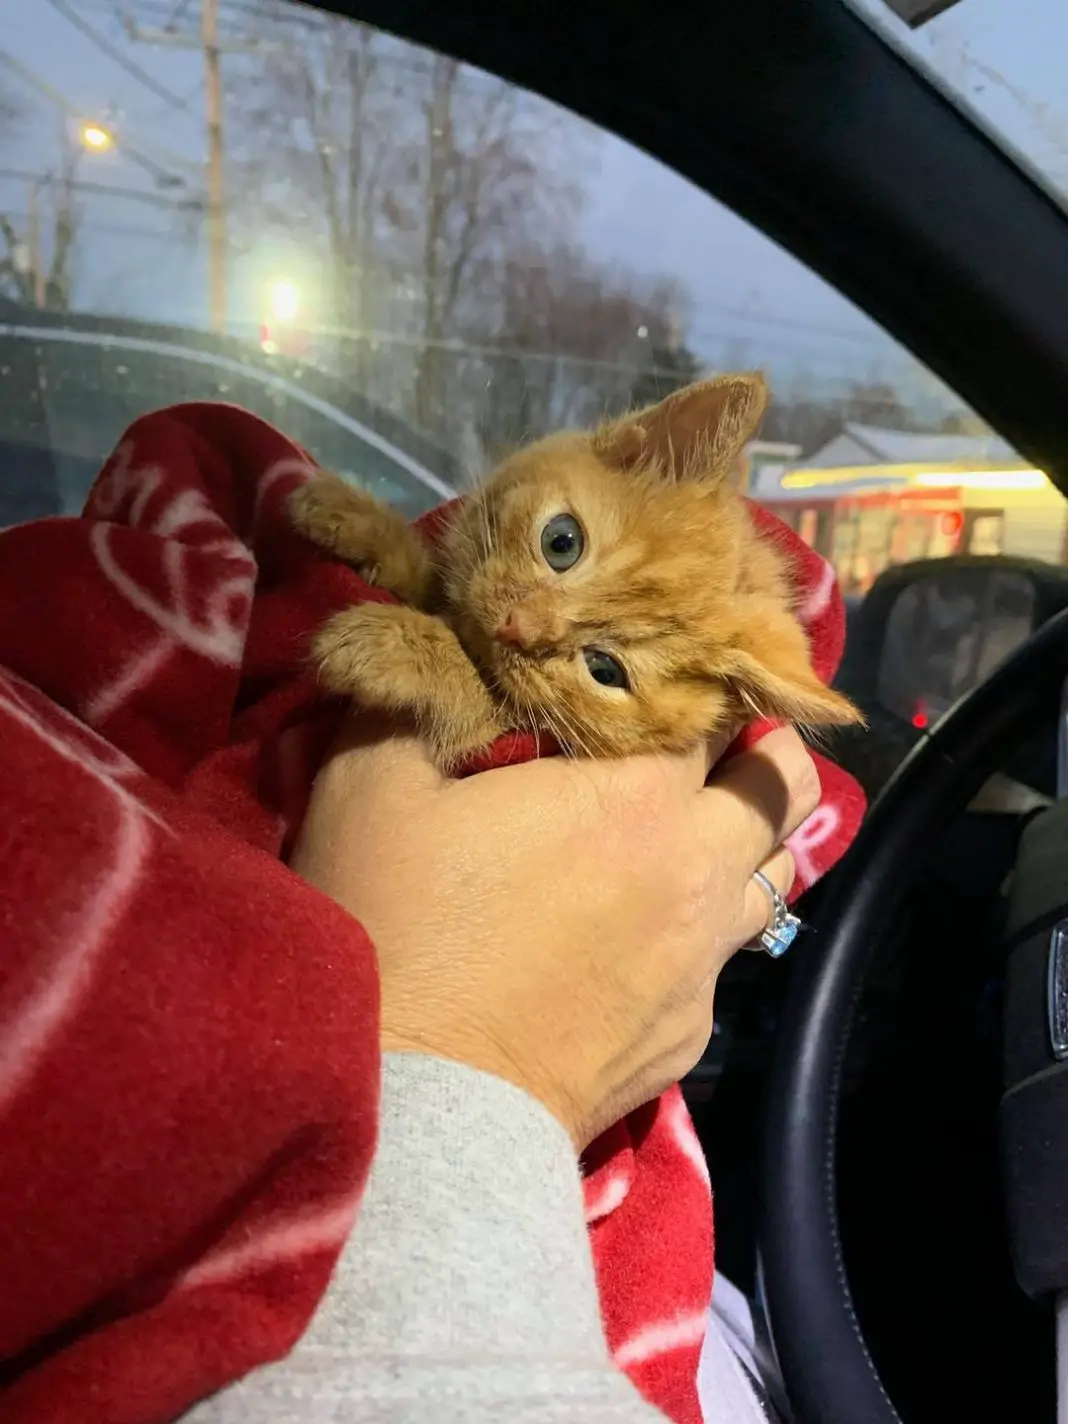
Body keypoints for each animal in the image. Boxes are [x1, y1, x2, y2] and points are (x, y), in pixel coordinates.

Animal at [290, 370, 860, 768]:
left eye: (604, 670)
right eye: (561, 542)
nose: (515, 627)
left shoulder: (507, 736)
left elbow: (473, 689)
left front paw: (391, 644)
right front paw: (357, 518)